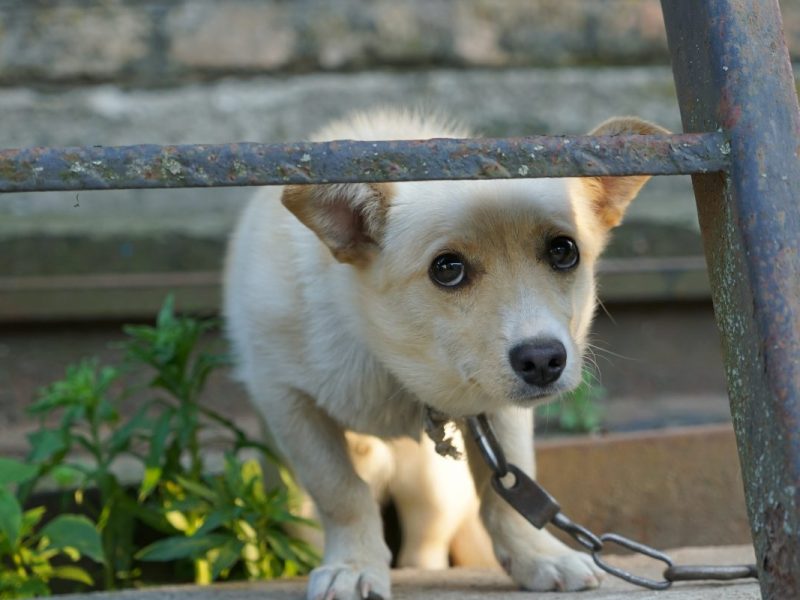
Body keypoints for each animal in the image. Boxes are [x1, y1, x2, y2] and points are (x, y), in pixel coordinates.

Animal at [223, 109, 665, 599]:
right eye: (448, 269)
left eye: (563, 251)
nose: (543, 361)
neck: (391, 359)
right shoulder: (286, 399)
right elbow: (341, 491)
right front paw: (353, 567)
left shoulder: (498, 414)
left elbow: (506, 489)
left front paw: (538, 558)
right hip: (295, 497)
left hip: (433, 491)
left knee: (427, 544)